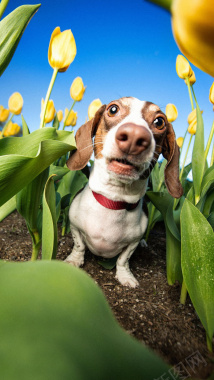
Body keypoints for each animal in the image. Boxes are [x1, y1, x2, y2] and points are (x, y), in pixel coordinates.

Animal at [65, 98, 182, 288]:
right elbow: (79, 245)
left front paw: (125, 276)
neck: (113, 200)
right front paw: (74, 260)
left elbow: (123, 260)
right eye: (113, 109)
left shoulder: (132, 243)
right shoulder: (74, 226)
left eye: (159, 122)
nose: (134, 136)